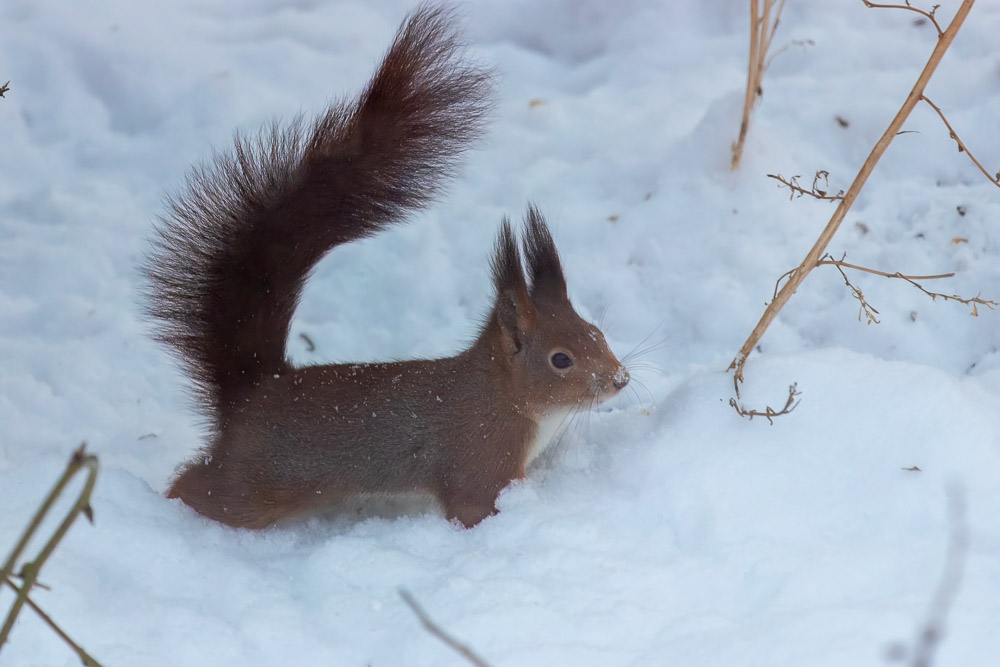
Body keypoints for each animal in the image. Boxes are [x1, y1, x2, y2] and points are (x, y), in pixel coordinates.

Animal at [145, 2, 628, 528]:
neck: (502, 395)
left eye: (597, 332)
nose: (620, 379)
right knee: (199, 486)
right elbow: (472, 506)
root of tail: (254, 392)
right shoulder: (478, 459)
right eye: (561, 359)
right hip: (256, 484)